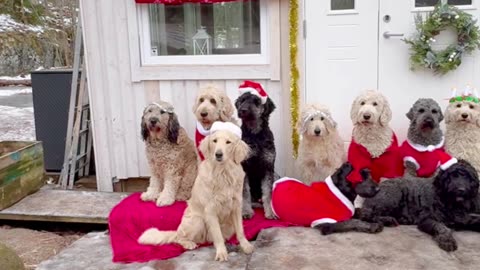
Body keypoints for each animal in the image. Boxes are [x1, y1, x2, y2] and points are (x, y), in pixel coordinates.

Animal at [234, 80, 276, 219]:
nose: (242, 110)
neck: (255, 135)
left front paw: (270, 211)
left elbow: (268, 192)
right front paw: (246, 211)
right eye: (242, 100)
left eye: (257, 101)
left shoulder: (268, 167)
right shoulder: (244, 167)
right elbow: (245, 193)